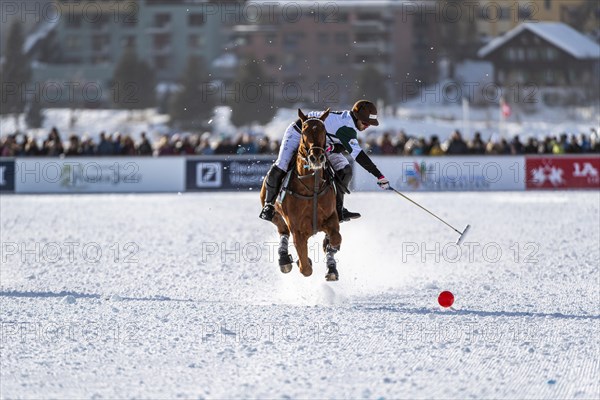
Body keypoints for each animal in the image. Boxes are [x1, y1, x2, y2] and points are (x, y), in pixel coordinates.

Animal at [258, 108, 340, 280]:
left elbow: (335, 238)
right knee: (282, 230)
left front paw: (331, 265)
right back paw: (284, 259)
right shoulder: (298, 229)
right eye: (304, 130)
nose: (316, 157)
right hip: (273, 211)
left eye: (324, 130)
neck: (311, 188)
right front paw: (302, 261)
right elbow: (305, 268)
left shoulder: (331, 218)